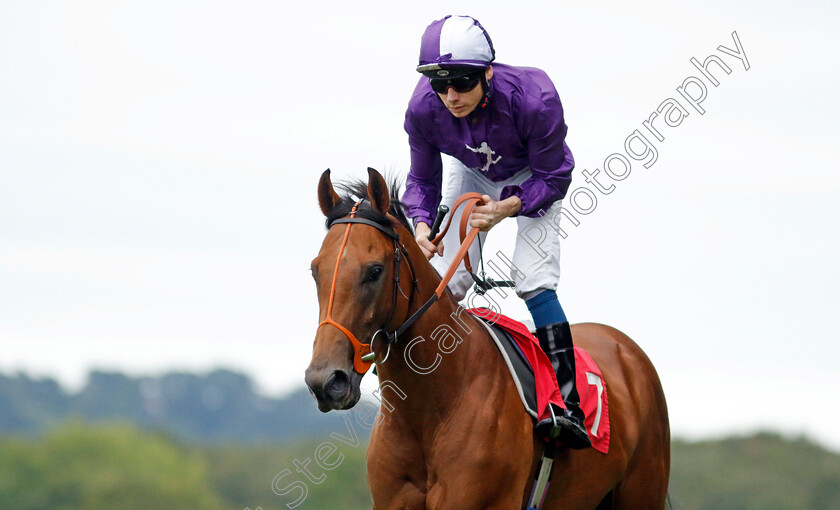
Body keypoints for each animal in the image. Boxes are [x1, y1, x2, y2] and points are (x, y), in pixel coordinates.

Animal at [306, 168, 668, 510]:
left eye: (375, 271)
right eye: (315, 270)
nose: (325, 380)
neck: (429, 410)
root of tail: (624, 346)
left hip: (642, 491)